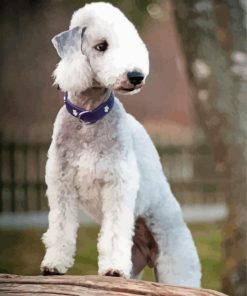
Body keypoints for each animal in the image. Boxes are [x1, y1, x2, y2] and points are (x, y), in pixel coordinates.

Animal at [41, 0, 201, 286]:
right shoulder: (61, 185)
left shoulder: (117, 184)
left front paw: (113, 268)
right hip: (137, 261)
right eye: (101, 46)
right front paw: (54, 265)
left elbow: (114, 231)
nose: (136, 76)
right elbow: (60, 228)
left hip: (175, 256)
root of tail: (148, 255)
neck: (89, 117)